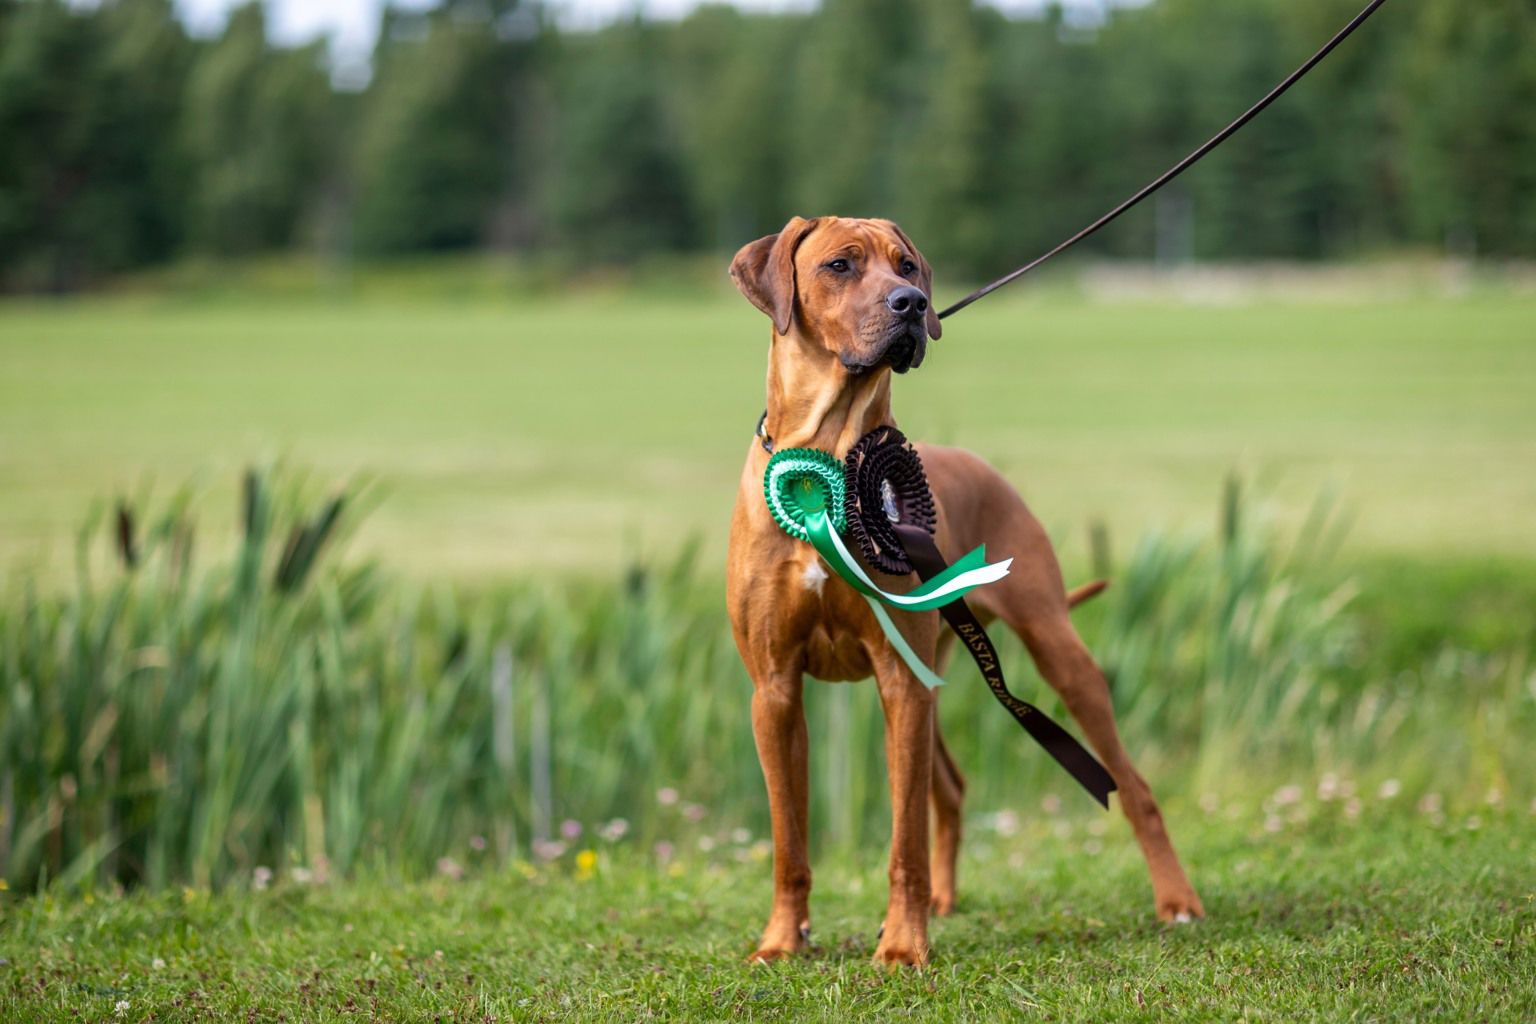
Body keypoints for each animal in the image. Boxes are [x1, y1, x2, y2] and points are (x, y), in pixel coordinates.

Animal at [724, 216, 1204, 970]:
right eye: (839, 265)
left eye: (907, 266)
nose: (912, 305)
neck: (826, 458)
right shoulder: (774, 688)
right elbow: (788, 840)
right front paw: (781, 940)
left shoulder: (898, 679)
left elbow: (904, 841)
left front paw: (902, 946)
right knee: (948, 786)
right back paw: (945, 902)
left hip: (1052, 650)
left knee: (1132, 787)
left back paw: (1176, 901)